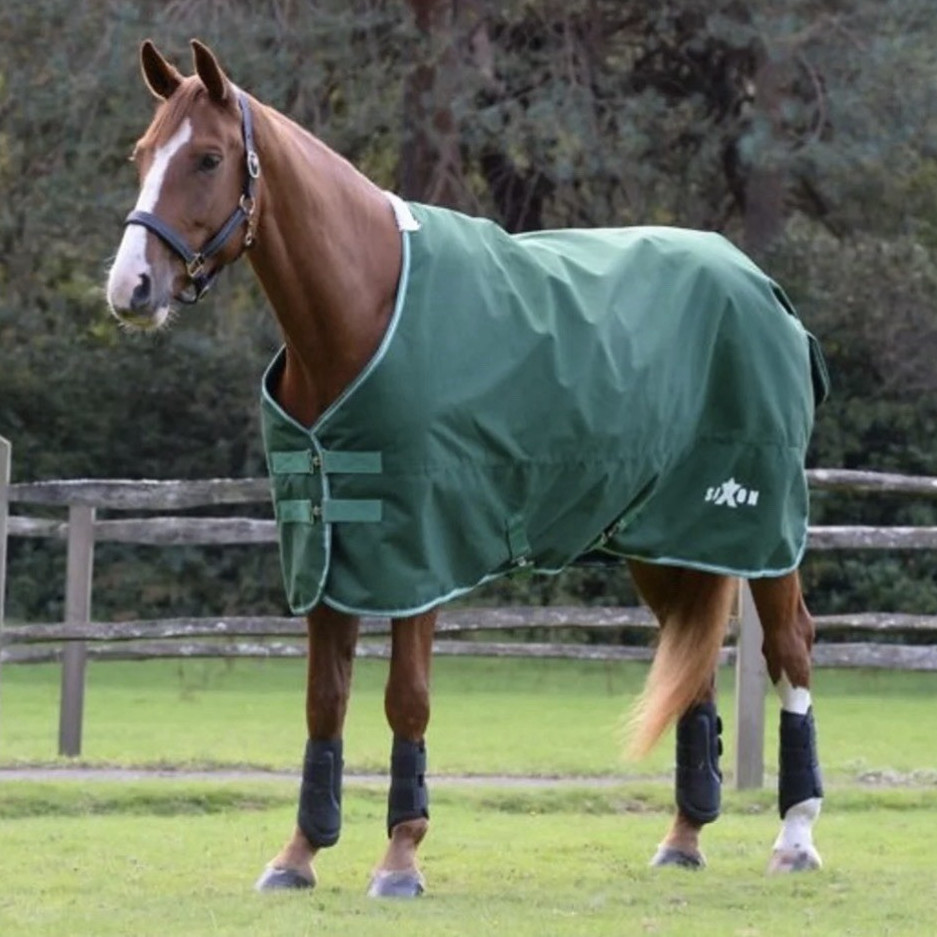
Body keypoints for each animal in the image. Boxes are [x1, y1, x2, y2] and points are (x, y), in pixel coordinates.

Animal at [105, 39, 828, 896]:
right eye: (141, 154)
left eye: (209, 158)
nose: (130, 288)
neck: (361, 308)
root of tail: (764, 288)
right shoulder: (326, 549)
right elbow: (324, 702)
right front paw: (299, 853)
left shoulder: (419, 553)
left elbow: (406, 700)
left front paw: (400, 857)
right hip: (661, 539)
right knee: (696, 668)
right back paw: (682, 837)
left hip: (756, 529)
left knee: (789, 646)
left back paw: (795, 835)